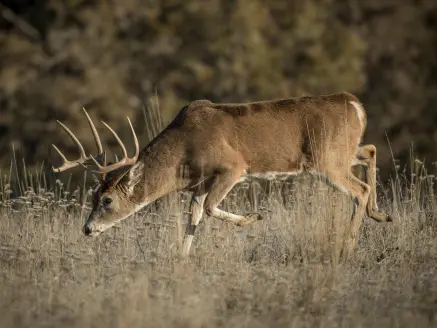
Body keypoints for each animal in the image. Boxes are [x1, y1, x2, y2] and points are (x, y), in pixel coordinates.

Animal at [52, 91, 392, 258]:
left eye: (107, 200)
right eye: (93, 196)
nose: (86, 229)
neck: (184, 150)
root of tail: (356, 104)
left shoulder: (232, 166)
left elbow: (210, 208)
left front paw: (252, 218)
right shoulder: (201, 182)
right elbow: (194, 214)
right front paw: (180, 261)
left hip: (327, 159)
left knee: (359, 190)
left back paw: (347, 249)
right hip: (341, 152)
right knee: (371, 149)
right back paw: (381, 214)